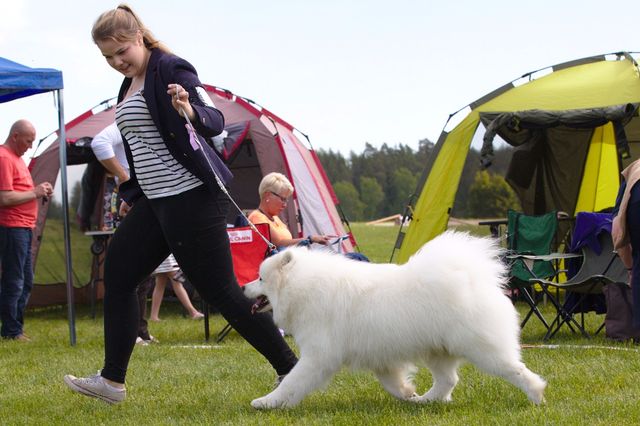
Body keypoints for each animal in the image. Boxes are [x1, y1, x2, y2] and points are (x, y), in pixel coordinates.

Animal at [244, 231, 544, 408]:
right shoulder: (379, 356)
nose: (244, 287)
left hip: (482, 349)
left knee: (514, 369)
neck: (303, 287)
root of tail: (473, 277)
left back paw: (537, 395)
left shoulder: (319, 356)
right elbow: (393, 382)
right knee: (448, 380)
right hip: (437, 350)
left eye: (260, 278)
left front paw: (266, 402)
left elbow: (292, 382)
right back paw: (426, 401)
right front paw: (408, 393)